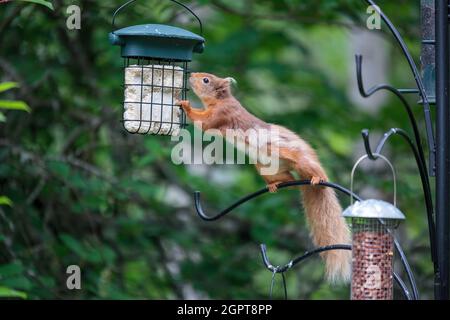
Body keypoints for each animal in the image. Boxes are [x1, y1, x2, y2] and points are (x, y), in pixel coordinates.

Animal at [178, 73, 352, 282]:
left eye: (206, 80)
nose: (191, 75)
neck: (220, 100)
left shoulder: (222, 114)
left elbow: (204, 123)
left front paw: (185, 105)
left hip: (294, 157)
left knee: (311, 169)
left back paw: (318, 178)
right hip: (265, 168)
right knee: (289, 180)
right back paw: (275, 185)